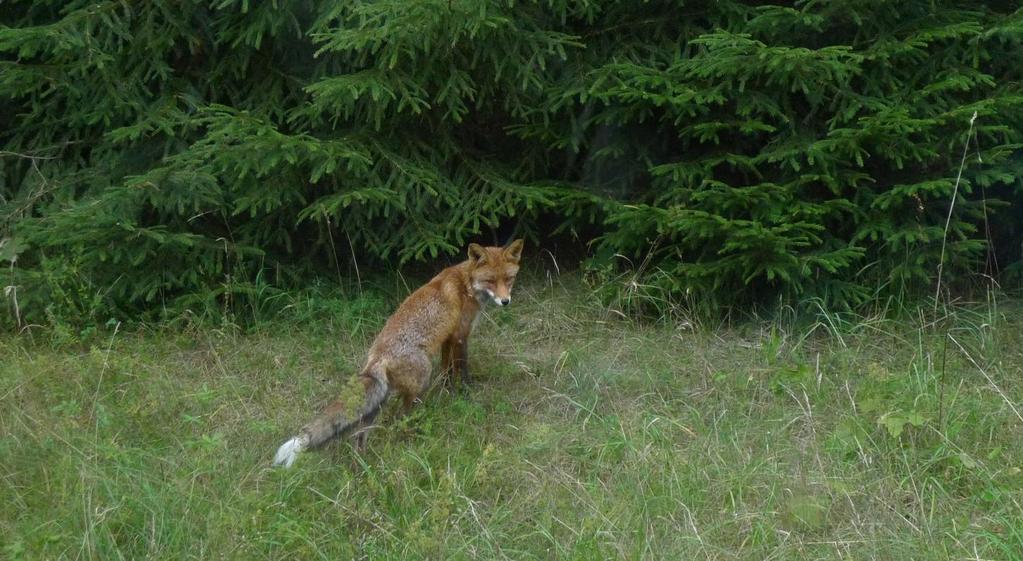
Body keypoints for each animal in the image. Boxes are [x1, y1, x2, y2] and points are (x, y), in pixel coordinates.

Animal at [272, 238, 523, 466]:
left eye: (508, 279)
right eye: (491, 280)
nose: (506, 301)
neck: (467, 284)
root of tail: (377, 358)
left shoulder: (447, 338)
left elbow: (447, 370)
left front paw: (448, 391)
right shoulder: (461, 335)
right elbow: (463, 369)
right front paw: (467, 393)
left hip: (378, 401)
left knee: (362, 430)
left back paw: (362, 462)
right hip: (421, 377)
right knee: (400, 416)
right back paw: (410, 434)